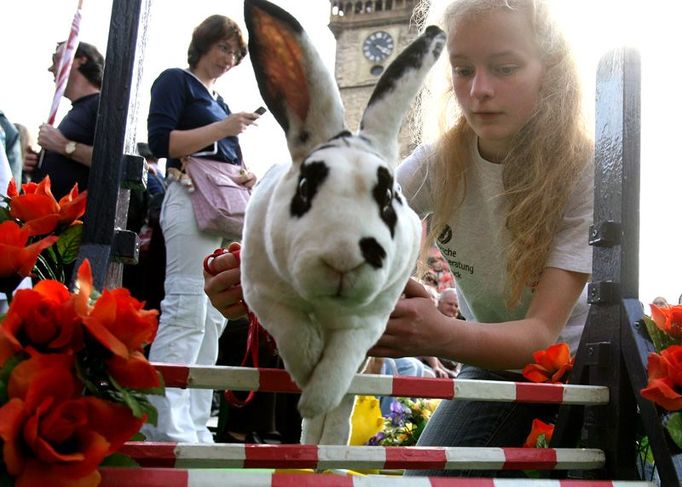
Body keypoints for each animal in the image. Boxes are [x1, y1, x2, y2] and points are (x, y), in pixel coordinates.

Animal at [240, 0, 446, 446]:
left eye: (389, 197)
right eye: (305, 186)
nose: (343, 256)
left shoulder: (368, 323)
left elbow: (337, 370)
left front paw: (315, 397)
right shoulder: (265, 294)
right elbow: (296, 334)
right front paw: (307, 367)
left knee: (346, 401)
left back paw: (329, 444)